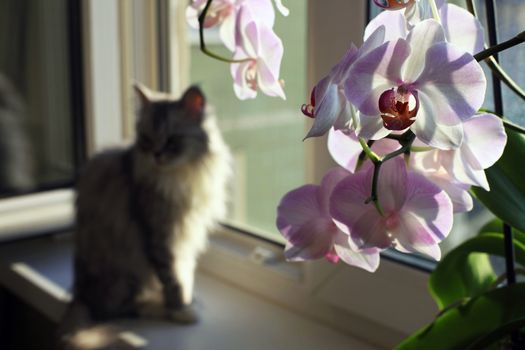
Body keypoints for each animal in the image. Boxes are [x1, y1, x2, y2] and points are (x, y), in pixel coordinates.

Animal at [58, 85, 230, 350]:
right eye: (147, 140)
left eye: (172, 140)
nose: (156, 155)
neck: (178, 177)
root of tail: (79, 294)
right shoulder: (159, 236)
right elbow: (172, 278)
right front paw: (181, 310)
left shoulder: (187, 238)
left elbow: (185, 273)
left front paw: (188, 301)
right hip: (126, 272)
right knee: (112, 311)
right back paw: (153, 308)